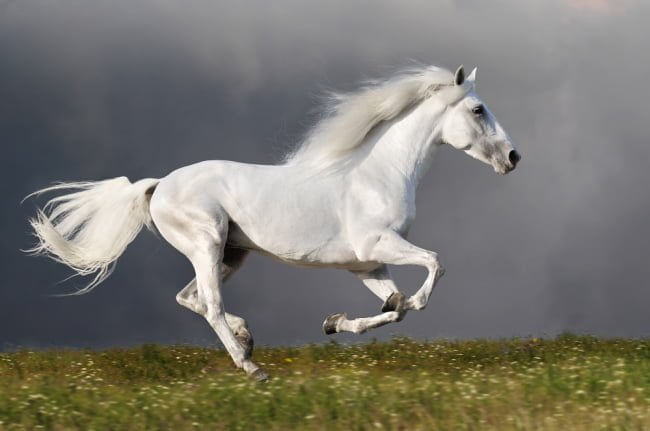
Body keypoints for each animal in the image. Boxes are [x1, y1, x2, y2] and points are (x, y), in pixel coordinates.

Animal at [27, 66, 520, 380]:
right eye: (478, 110)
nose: (514, 157)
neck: (377, 173)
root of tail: (159, 185)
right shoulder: (378, 245)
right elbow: (434, 266)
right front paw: (407, 302)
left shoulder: (365, 265)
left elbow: (393, 307)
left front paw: (335, 323)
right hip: (207, 244)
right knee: (209, 303)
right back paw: (252, 367)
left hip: (231, 254)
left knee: (191, 297)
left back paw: (246, 339)